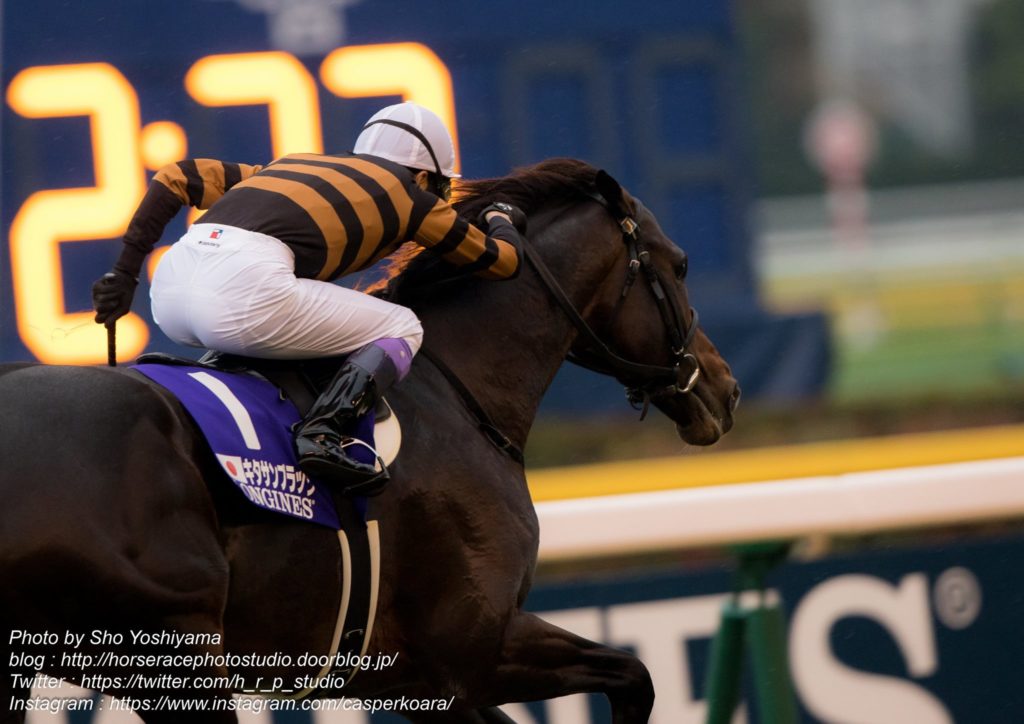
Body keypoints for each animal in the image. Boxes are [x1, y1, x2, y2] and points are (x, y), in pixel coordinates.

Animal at [0, 158, 739, 723]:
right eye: (680, 264)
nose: (726, 390)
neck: (454, 387)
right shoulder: (474, 648)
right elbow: (634, 676)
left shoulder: (410, 679)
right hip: (174, 658)